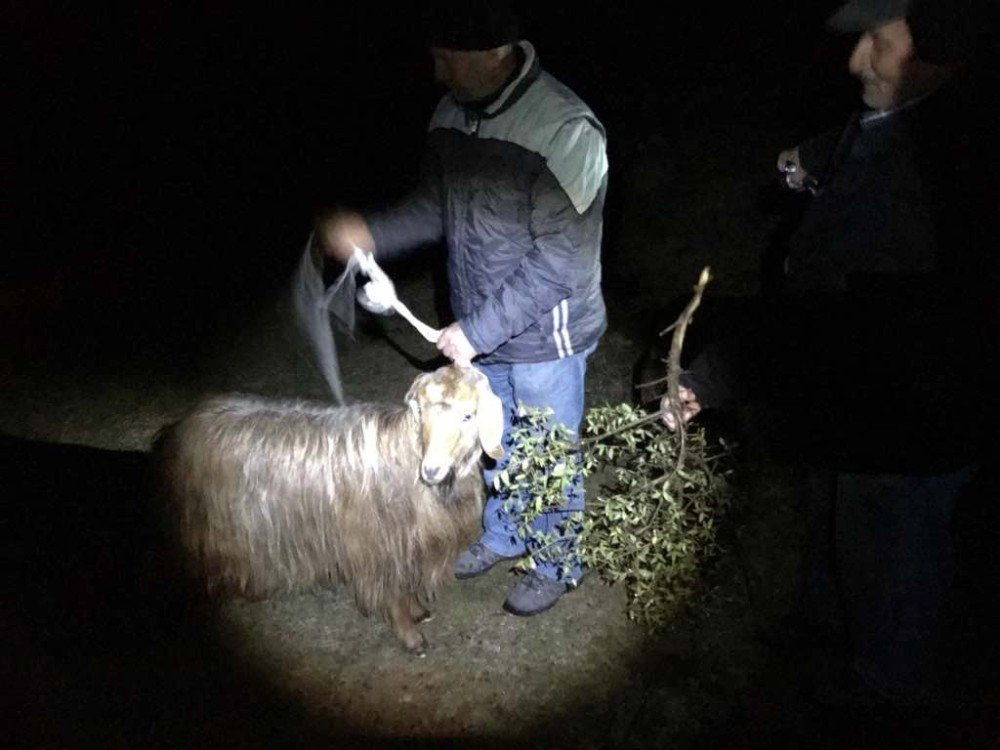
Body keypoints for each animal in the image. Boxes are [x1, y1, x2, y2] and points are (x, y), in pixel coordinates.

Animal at [154, 368, 508, 656]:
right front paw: (410, 637)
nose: (432, 470)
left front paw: (418, 611)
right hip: (207, 524)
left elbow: (406, 585)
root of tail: (177, 428)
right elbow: (394, 594)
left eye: (469, 416)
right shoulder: (382, 548)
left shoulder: (409, 548)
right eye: (422, 412)